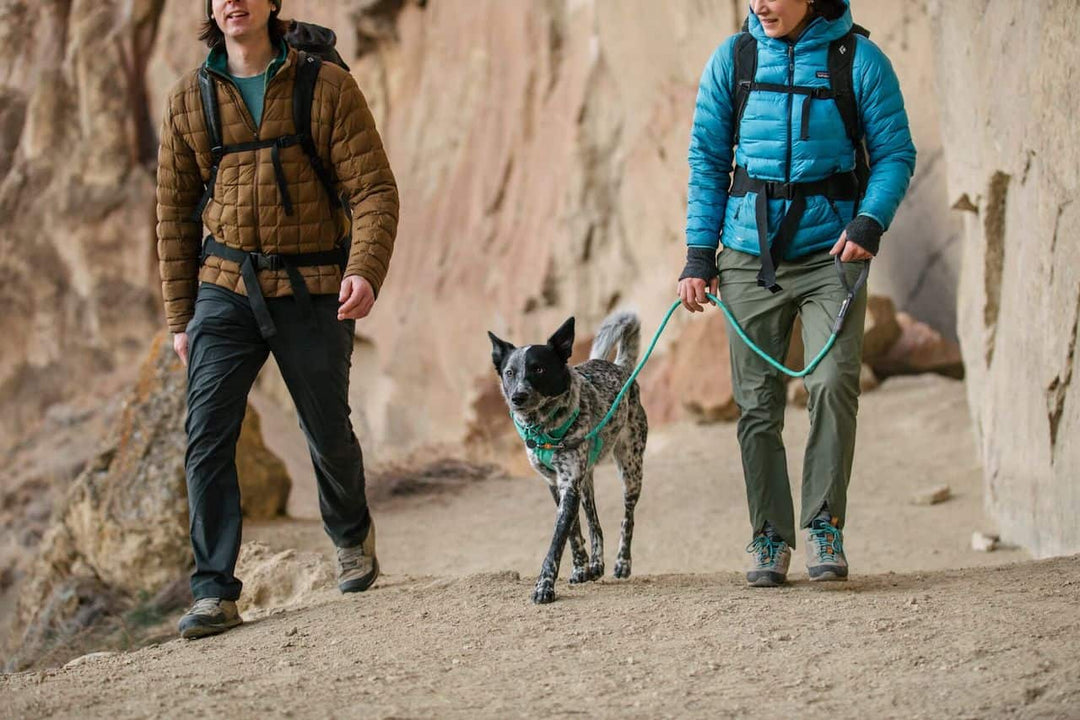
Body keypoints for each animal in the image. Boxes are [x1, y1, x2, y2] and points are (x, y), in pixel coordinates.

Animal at [490, 313, 648, 604]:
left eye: (539, 369)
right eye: (509, 372)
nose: (517, 397)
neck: (542, 426)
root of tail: (620, 368)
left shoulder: (569, 485)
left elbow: (556, 543)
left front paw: (545, 587)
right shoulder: (557, 484)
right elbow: (573, 534)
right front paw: (580, 567)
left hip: (631, 468)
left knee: (627, 517)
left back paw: (622, 563)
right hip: (587, 482)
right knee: (595, 524)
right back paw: (596, 564)